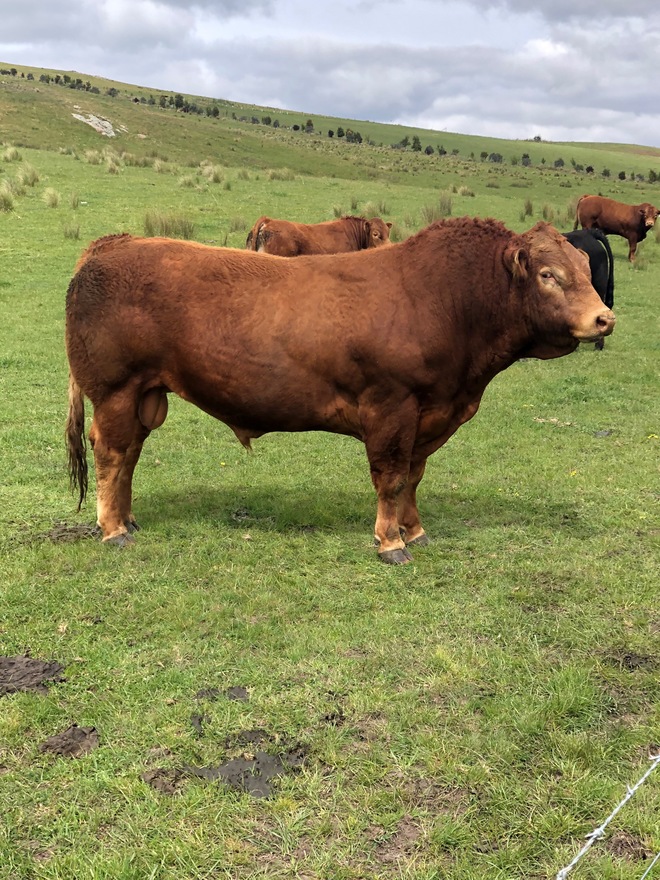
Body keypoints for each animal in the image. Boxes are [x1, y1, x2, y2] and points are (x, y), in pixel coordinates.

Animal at [65, 219, 614, 564]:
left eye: (587, 270)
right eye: (548, 275)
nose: (603, 318)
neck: (446, 300)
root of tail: (114, 244)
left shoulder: (429, 417)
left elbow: (413, 478)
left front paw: (415, 530)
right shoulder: (392, 408)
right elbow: (391, 478)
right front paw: (391, 543)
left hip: (146, 396)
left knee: (129, 456)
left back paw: (128, 520)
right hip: (116, 391)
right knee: (112, 454)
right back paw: (113, 531)